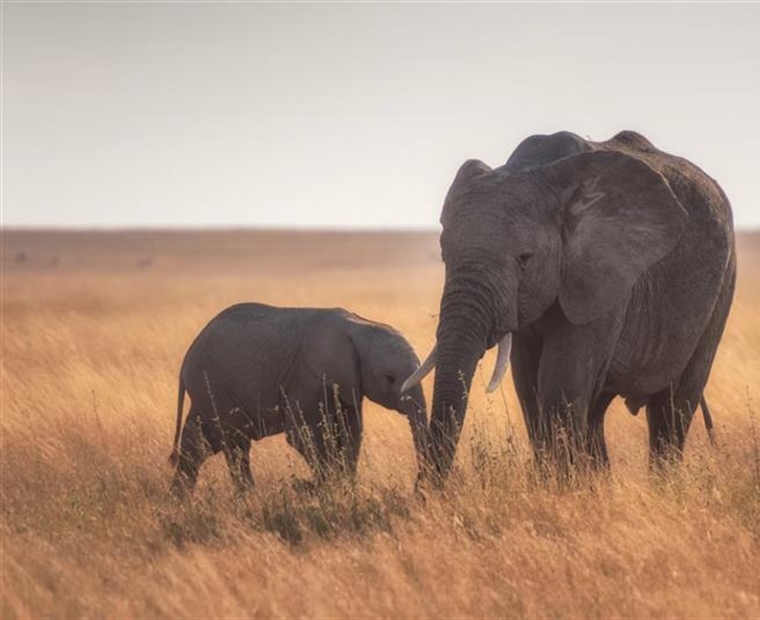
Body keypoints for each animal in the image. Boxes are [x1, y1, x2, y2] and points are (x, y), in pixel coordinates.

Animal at [169, 302, 428, 495]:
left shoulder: (347, 385)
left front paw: (345, 490)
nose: (418, 488)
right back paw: (248, 498)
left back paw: (180, 500)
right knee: (236, 444)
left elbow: (352, 433)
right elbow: (303, 434)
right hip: (215, 387)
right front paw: (325, 489)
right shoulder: (307, 377)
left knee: (198, 443)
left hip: (208, 391)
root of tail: (188, 354)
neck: (360, 326)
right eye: (389, 378)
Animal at [403, 130, 736, 483]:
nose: (425, 491)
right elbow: (529, 386)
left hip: (722, 287)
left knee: (673, 406)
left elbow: (560, 384)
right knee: (597, 411)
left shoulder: (604, 275)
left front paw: (562, 488)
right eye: (444, 255)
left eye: (524, 259)